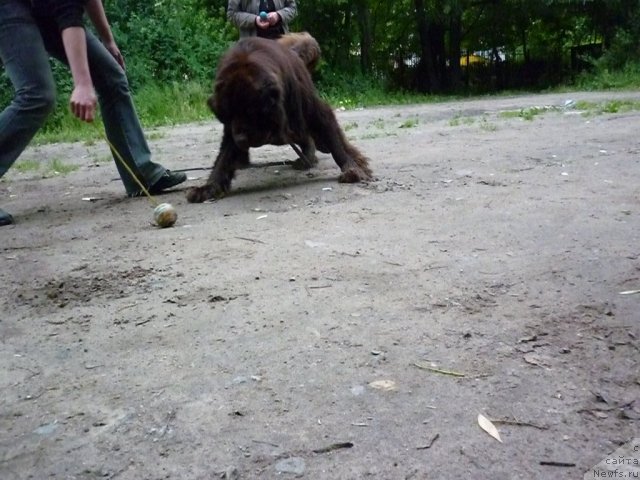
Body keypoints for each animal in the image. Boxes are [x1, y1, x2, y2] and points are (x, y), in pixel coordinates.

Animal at [185, 33, 372, 202]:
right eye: (227, 116)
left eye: (251, 112)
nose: (241, 139)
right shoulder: (231, 131)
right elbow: (223, 158)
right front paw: (209, 187)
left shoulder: (314, 110)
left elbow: (336, 145)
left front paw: (352, 169)